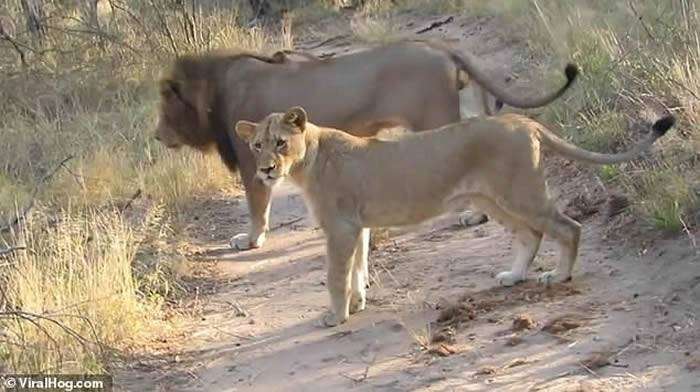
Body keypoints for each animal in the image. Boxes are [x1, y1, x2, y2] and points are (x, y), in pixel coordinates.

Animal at [156, 39, 576, 251]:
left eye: (164, 106)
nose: (157, 135)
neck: (216, 87)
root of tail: (441, 48)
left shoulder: (251, 160)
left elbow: (257, 206)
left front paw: (252, 239)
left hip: (437, 119)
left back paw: (473, 215)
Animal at [237, 105, 680, 326]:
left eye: (280, 143)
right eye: (257, 145)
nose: (266, 170)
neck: (308, 159)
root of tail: (525, 121)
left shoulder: (340, 227)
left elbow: (335, 276)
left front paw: (335, 316)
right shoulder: (357, 226)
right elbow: (359, 269)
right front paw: (358, 303)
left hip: (520, 194)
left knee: (568, 227)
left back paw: (559, 276)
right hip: (493, 200)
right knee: (531, 235)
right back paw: (513, 276)